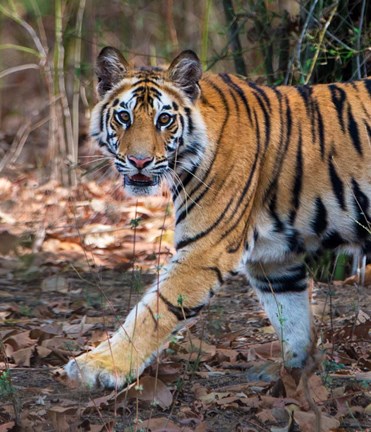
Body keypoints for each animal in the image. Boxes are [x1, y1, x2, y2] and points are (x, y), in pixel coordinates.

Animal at [65, 46, 370, 388]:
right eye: (124, 117)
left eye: (164, 119)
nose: (139, 161)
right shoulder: (275, 259)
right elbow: (292, 317)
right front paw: (292, 373)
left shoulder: (206, 249)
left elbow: (154, 310)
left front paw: (100, 364)